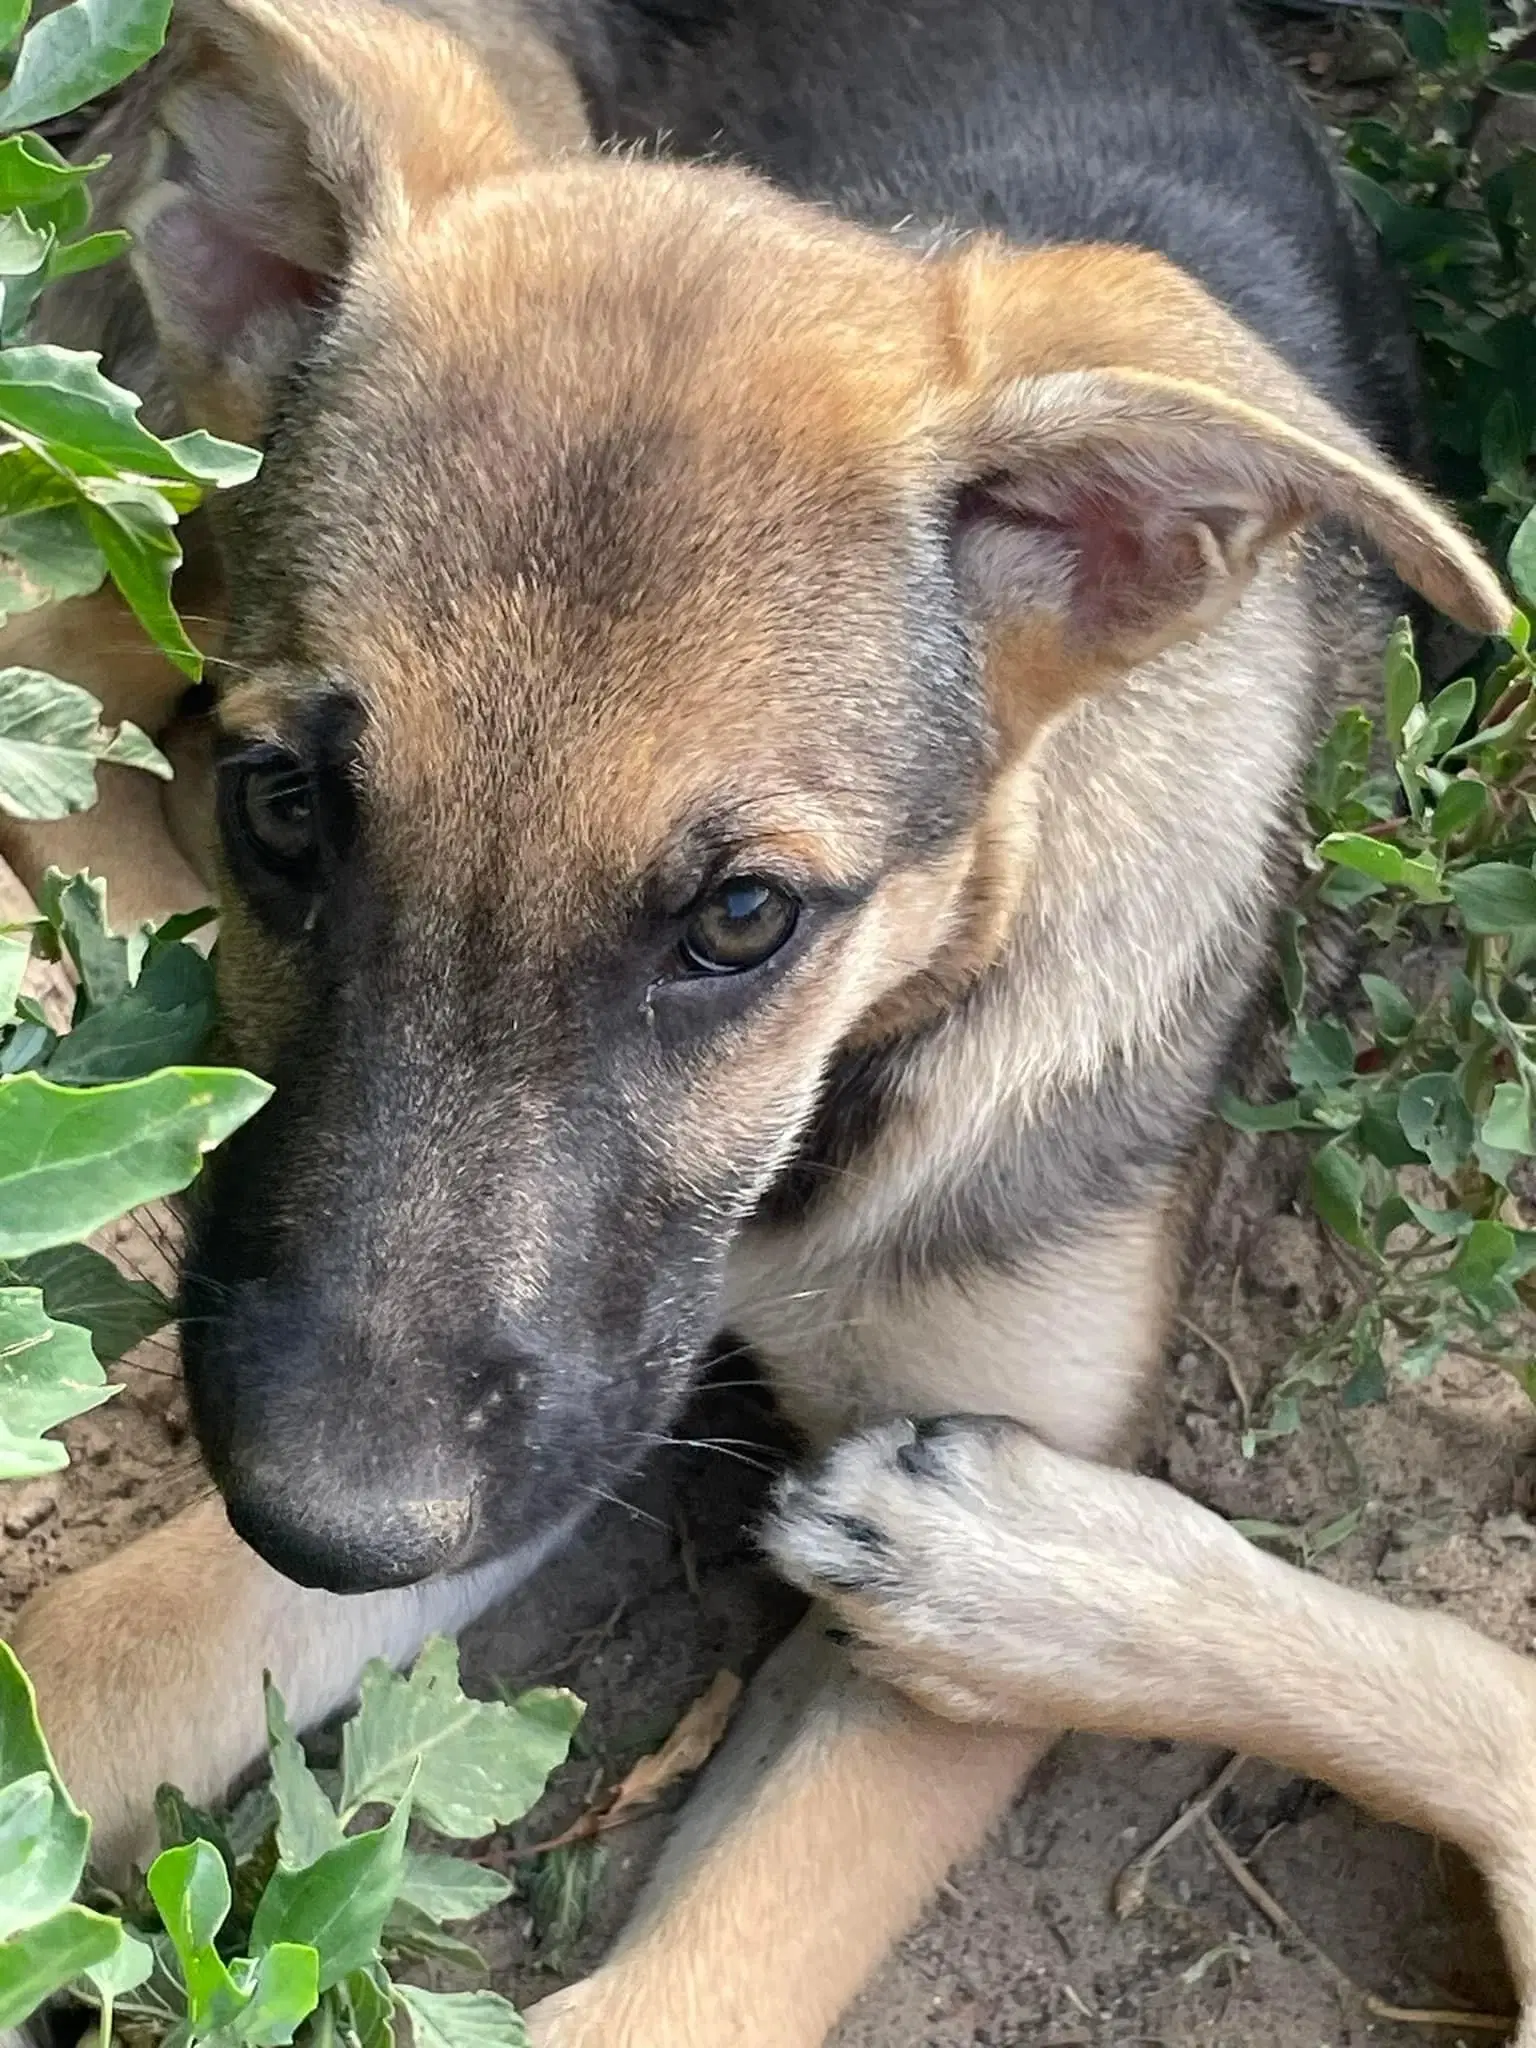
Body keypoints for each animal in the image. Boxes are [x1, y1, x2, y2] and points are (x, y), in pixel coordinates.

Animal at [3, 0, 1536, 2039]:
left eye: (744, 918)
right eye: (286, 808)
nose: (328, 1523)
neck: (836, 1113)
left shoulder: (870, 1550)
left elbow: (691, 1982)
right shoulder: (543, 1405)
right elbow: (97, 1655)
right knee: (49, 633)